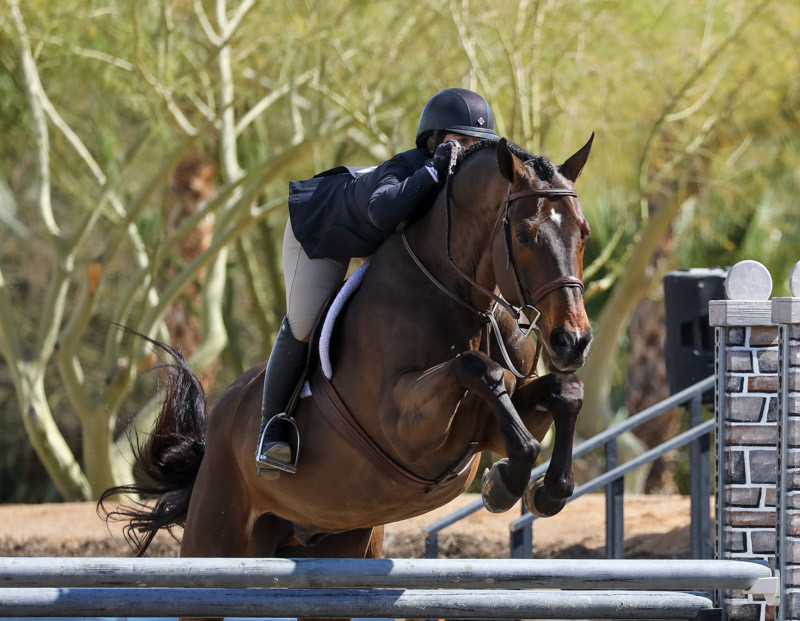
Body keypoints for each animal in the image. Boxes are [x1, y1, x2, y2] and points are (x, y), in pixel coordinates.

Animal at [103, 134, 592, 612]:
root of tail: (217, 427)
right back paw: (274, 444)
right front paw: (505, 484)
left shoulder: (487, 427)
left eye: (583, 233)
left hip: (336, 549)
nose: (572, 341)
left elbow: (565, 392)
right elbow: (479, 371)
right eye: (525, 235)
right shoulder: (406, 426)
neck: (458, 296)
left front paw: (545, 491)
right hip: (213, 547)